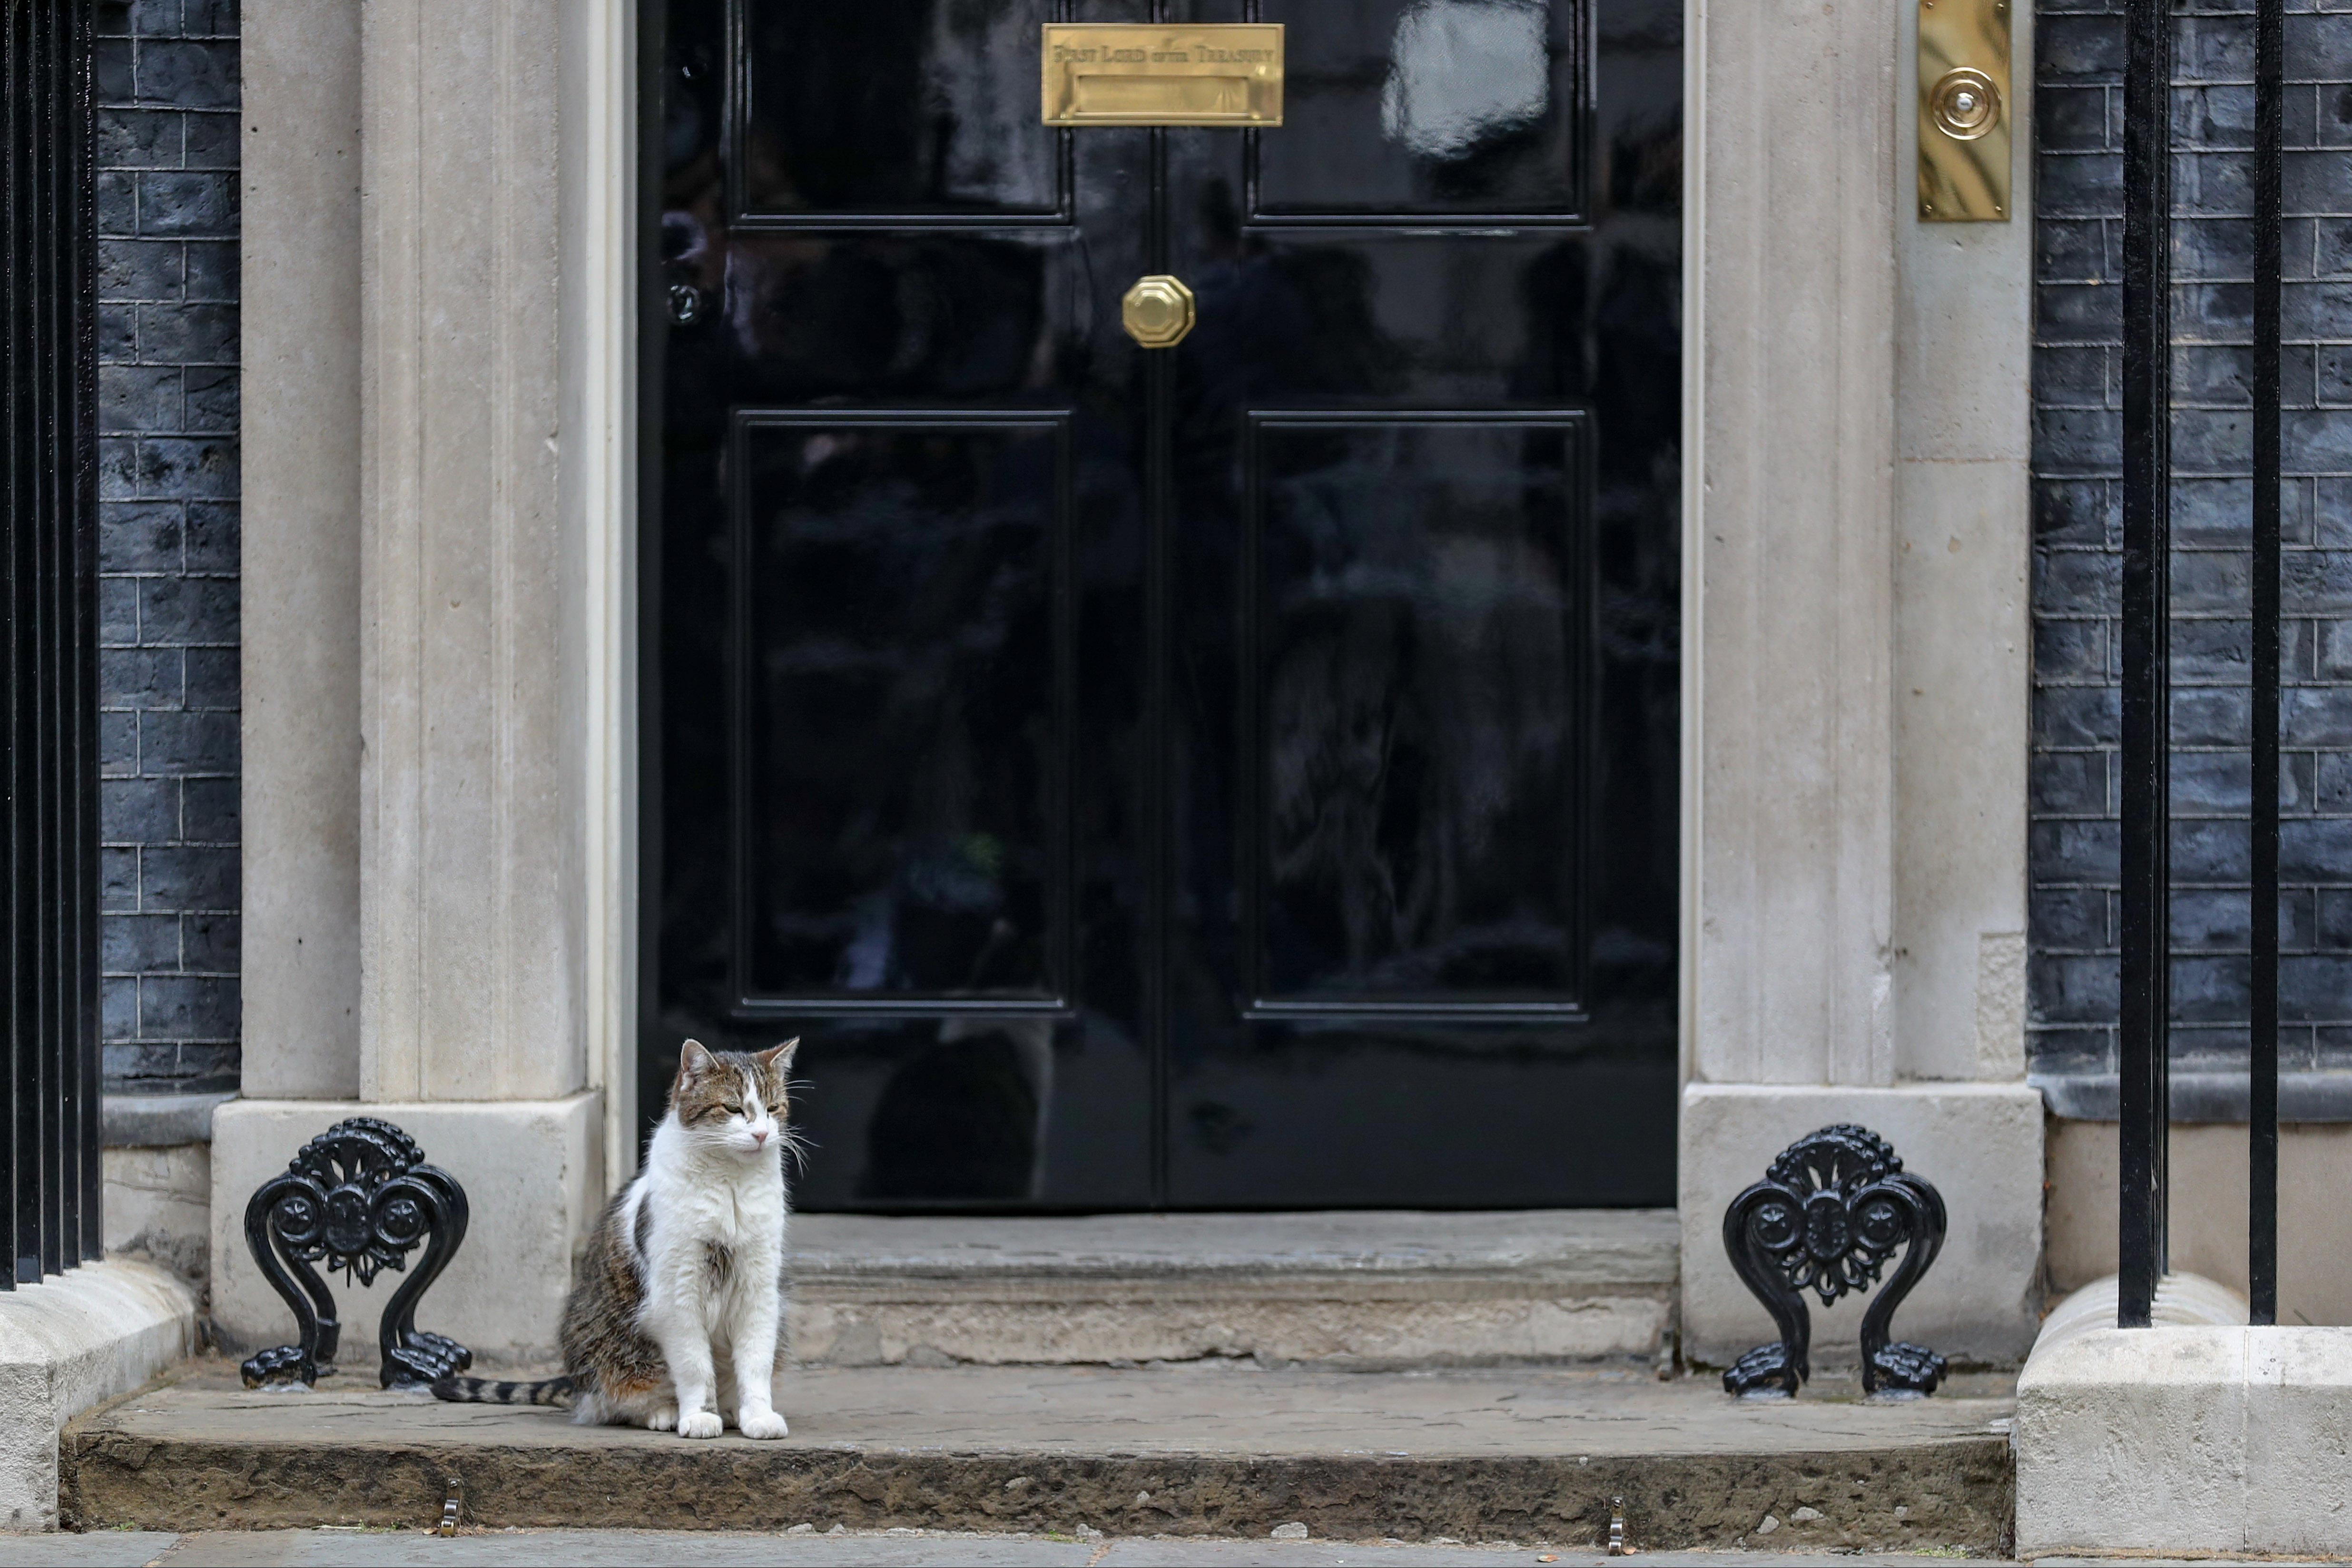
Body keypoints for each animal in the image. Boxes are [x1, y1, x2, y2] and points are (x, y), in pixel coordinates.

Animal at [437, 1034, 804, 1439]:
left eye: (773, 1108)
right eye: (733, 1108)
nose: (761, 1134)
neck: (731, 1185)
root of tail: (577, 1385)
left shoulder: (759, 1290)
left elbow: (756, 1363)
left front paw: (758, 1416)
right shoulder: (678, 1293)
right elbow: (694, 1366)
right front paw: (698, 1416)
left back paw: (730, 1410)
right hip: (611, 1353)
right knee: (614, 1402)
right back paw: (665, 1412)